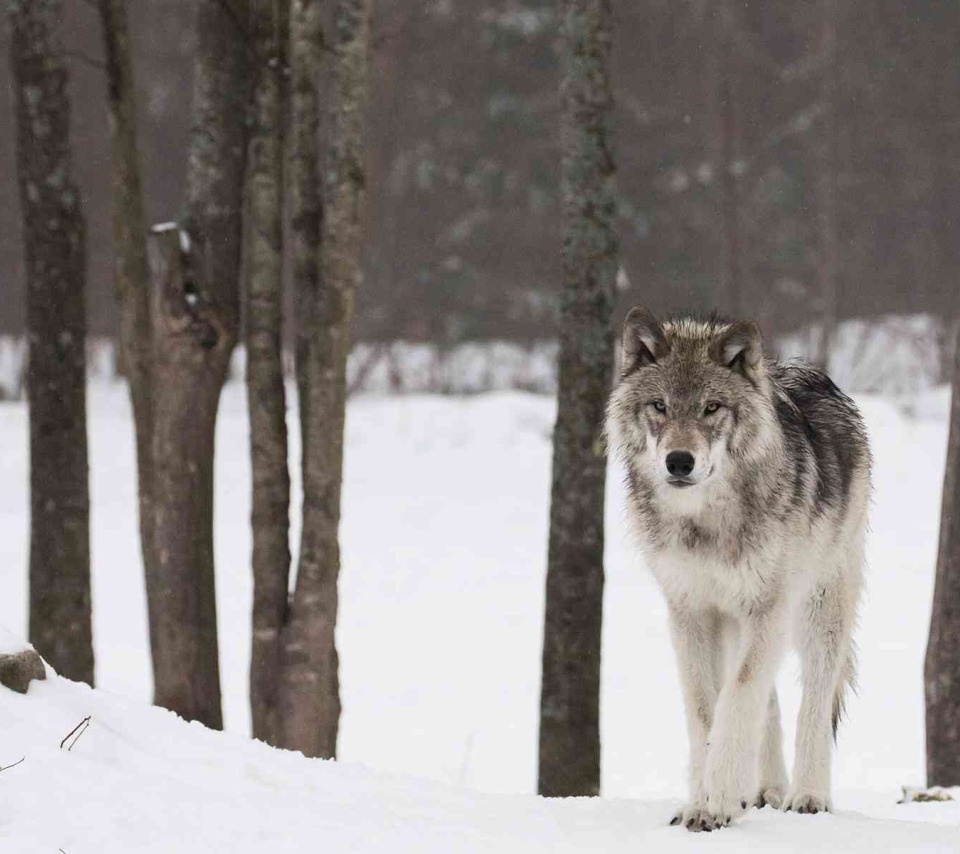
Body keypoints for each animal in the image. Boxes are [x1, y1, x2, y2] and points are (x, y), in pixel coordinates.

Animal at [608, 310, 872, 836]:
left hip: (817, 611)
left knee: (813, 702)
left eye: (712, 408)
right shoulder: (690, 612)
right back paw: (765, 791)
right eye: (659, 406)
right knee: (766, 700)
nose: (679, 461)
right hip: (739, 622)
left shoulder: (767, 608)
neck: (706, 522)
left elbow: (738, 701)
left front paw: (718, 804)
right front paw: (704, 801)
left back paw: (807, 796)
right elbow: (707, 709)